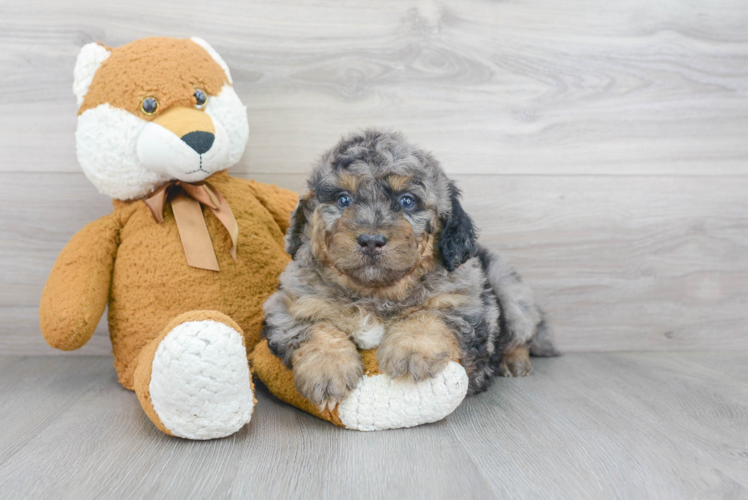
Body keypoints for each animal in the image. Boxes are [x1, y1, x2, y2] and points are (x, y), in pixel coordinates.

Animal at [262, 130, 556, 410]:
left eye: (407, 201)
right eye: (343, 199)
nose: (371, 241)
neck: (376, 294)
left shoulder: (468, 309)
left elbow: (429, 314)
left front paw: (410, 352)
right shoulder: (290, 307)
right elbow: (317, 327)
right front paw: (327, 369)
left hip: (509, 288)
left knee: (522, 336)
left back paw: (515, 362)